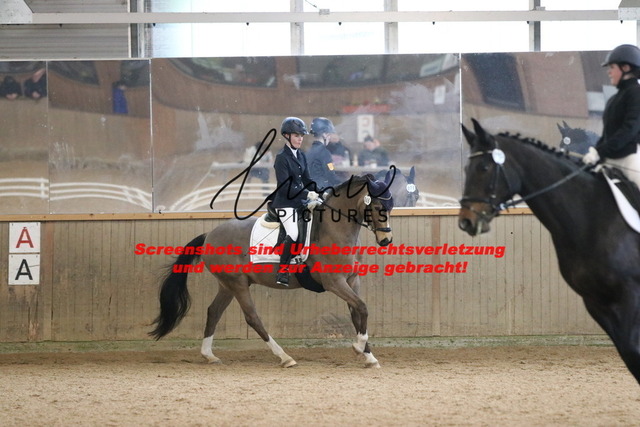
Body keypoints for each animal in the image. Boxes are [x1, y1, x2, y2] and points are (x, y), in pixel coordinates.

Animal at [149, 173, 394, 368]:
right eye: (377, 207)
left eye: (390, 208)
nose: (386, 240)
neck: (334, 230)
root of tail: (209, 235)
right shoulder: (334, 282)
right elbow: (362, 308)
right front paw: (358, 348)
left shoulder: (352, 280)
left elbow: (357, 313)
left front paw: (369, 357)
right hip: (237, 283)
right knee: (252, 317)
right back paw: (285, 357)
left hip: (227, 284)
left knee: (214, 312)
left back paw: (209, 355)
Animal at [458, 118, 640, 385]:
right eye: (466, 169)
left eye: (483, 167)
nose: (466, 222)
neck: (592, 216)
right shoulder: (595, 301)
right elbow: (628, 353)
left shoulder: (631, 292)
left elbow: (633, 351)